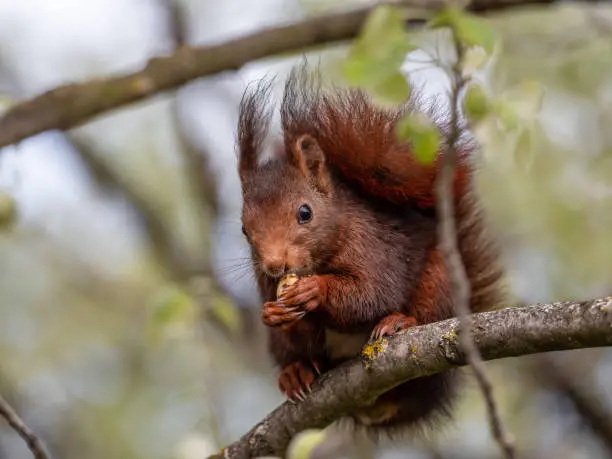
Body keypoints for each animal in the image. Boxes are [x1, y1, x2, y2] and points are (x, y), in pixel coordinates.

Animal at [234, 63, 502, 436]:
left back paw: (401, 322)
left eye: (305, 212)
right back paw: (295, 372)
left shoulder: (375, 247)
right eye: (244, 228)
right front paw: (273, 314)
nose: (275, 264)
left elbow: (372, 294)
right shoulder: (265, 283)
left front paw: (314, 290)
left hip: (439, 282)